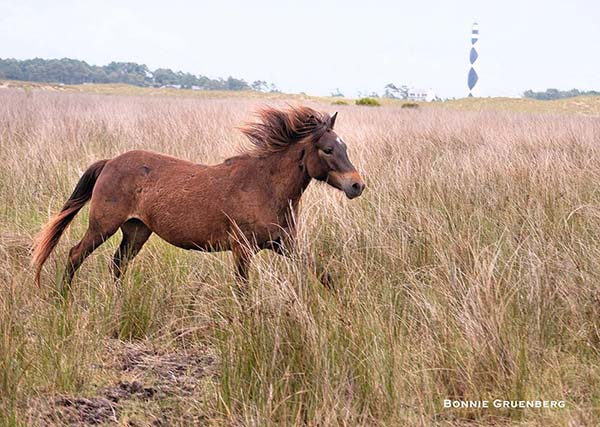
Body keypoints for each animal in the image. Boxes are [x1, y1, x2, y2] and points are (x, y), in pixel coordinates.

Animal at [31, 105, 366, 296]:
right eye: (327, 149)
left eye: (344, 147)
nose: (356, 185)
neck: (265, 186)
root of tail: (110, 161)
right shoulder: (242, 248)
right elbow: (242, 290)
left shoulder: (284, 244)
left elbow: (323, 274)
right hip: (104, 226)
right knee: (75, 254)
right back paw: (62, 298)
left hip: (136, 231)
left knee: (117, 265)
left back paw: (118, 301)